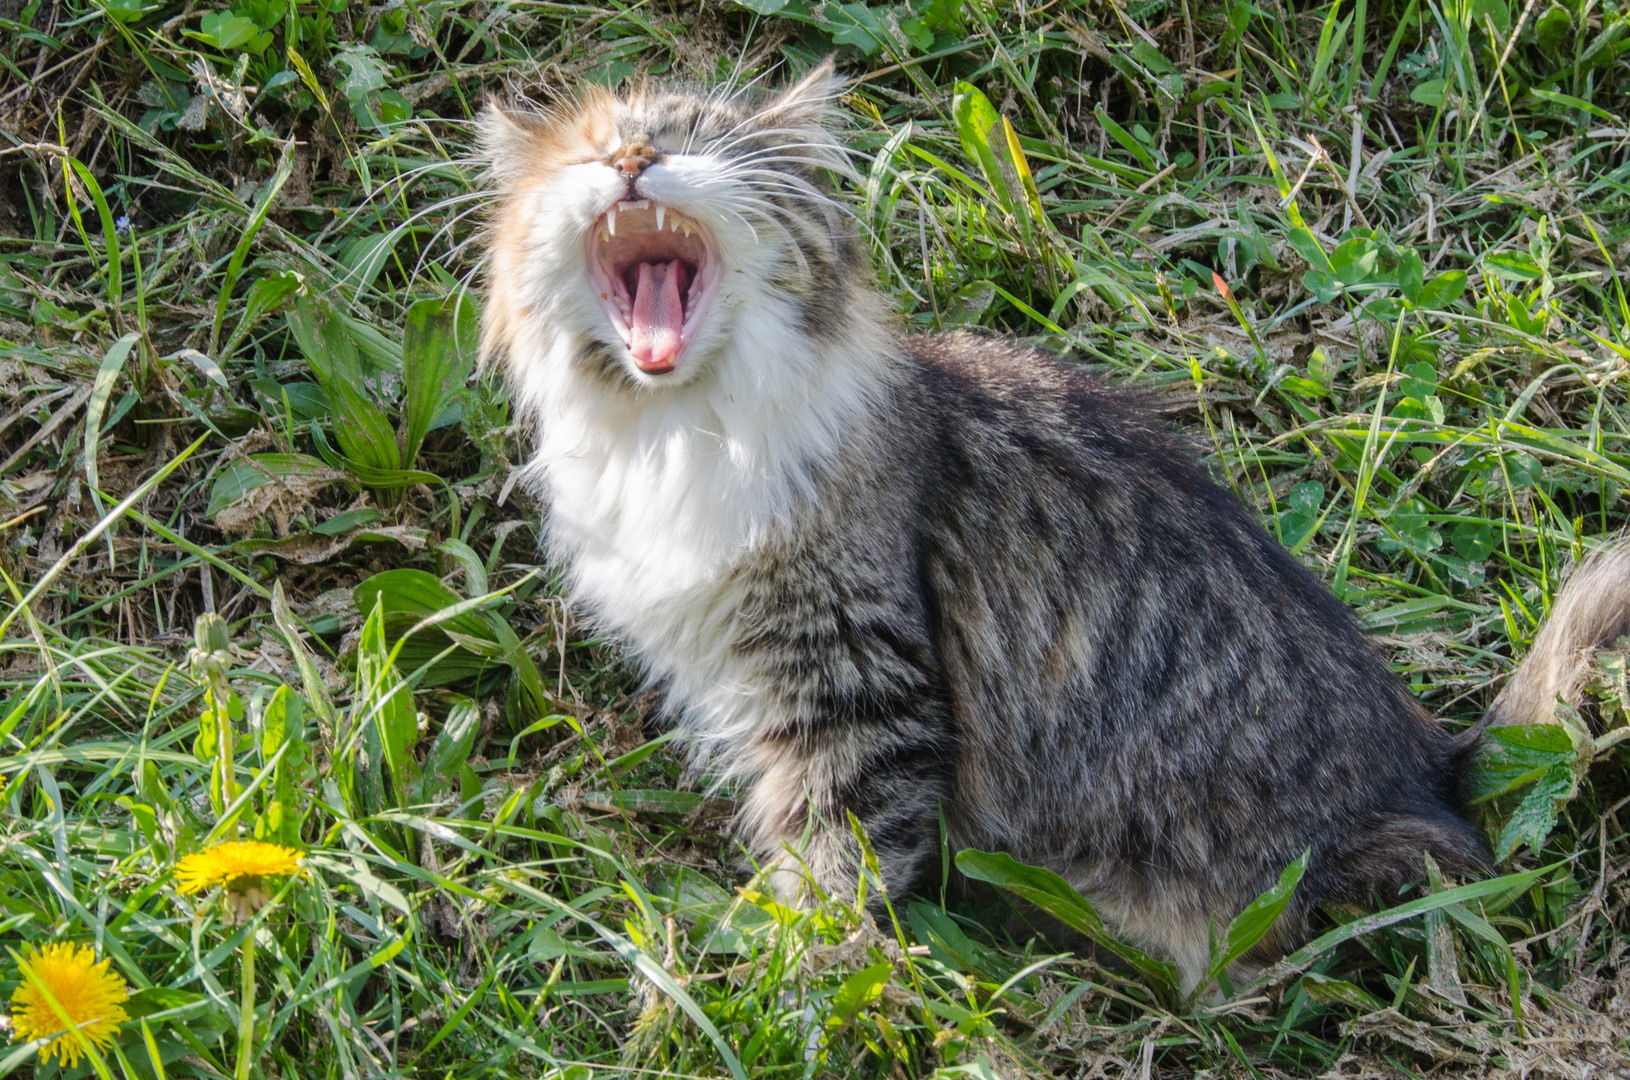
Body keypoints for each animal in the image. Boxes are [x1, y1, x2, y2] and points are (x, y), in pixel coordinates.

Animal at [472, 61, 1630, 996]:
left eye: (696, 135)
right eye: (591, 145)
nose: (631, 158)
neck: (675, 430)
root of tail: (1433, 764)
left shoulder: (855, 676)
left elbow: (840, 852)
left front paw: (795, 980)